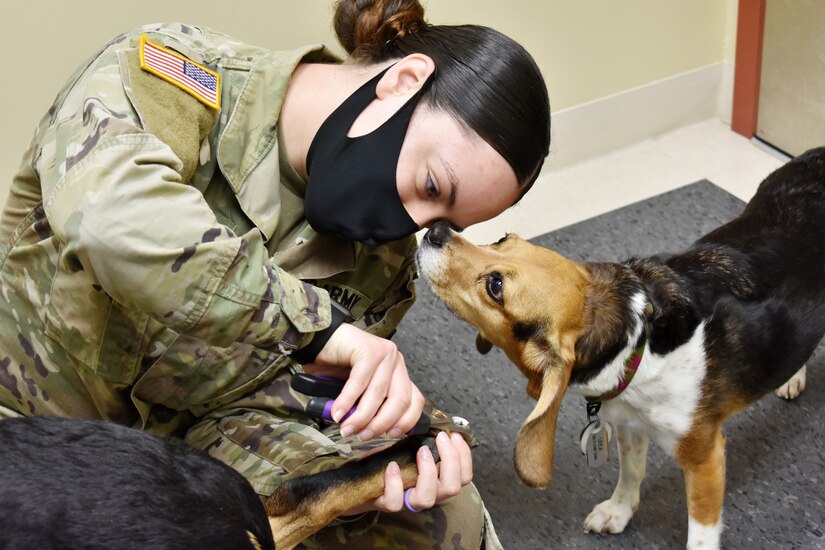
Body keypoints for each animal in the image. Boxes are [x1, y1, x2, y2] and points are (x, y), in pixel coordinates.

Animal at [416, 148, 824, 550]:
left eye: (496, 286)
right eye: (501, 239)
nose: (435, 230)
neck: (639, 341)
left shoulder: (705, 457)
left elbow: (701, 532)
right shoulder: (630, 424)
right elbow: (631, 472)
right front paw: (619, 511)